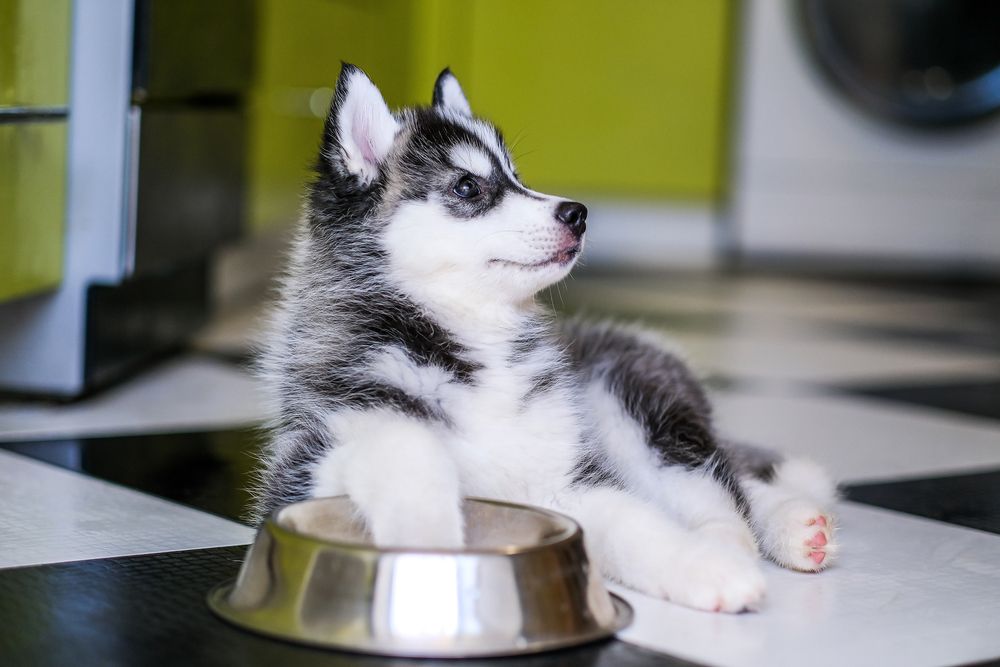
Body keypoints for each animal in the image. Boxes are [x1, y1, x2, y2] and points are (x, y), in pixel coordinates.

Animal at [256, 65, 836, 612]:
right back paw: (794, 527)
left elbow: (640, 526)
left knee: (716, 482)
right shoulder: (303, 468)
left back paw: (766, 530)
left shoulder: (566, 480)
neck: (476, 338)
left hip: (633, 409)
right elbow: (404, 445)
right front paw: (432, 540)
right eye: (468, 186)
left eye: (517, 176)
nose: (578, 213)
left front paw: (706, 566)